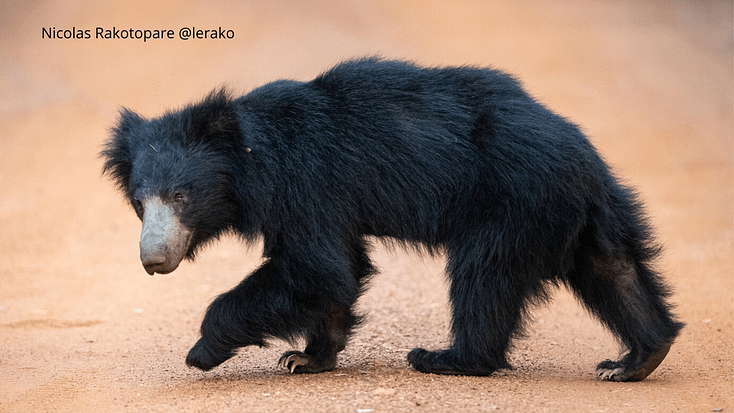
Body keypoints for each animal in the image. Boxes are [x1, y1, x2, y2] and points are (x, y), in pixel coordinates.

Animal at [101, 57, 683, 381]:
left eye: (181, 195)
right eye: (140, 202)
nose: (153, 259)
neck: (253, 156)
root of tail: (580, 153)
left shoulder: (307, 184)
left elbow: (317, 268)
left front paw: (201, 351)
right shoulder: (322, 203)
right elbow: (338, 271)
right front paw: (306, 358)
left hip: (512, 202)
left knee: (484, 276)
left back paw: (447, 358)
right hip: (579, 209)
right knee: (613, 267)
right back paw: (637, 358)